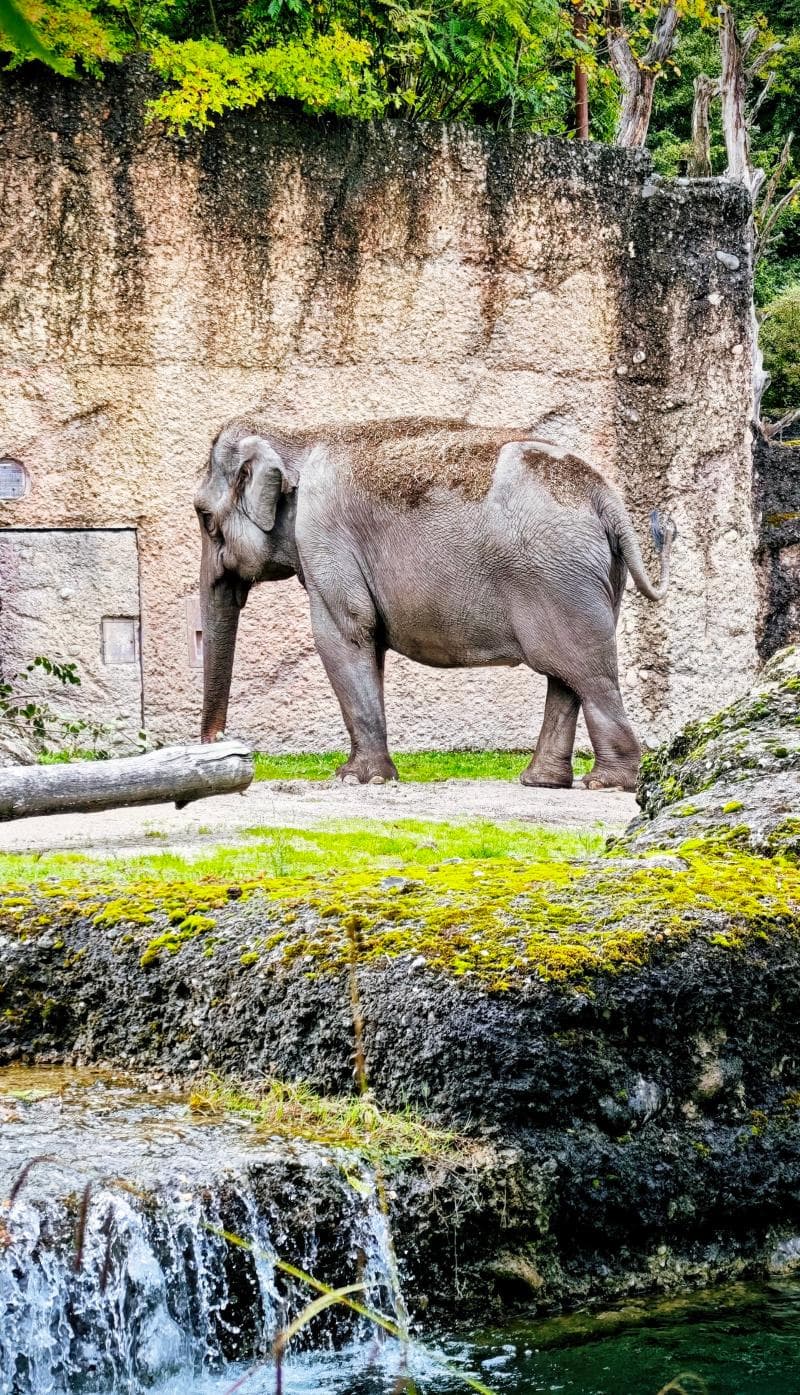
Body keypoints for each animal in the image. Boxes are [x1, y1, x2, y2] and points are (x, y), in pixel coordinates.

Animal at [194, 416, 676, 791]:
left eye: (204, 517)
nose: (219, 741)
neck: (296, 435)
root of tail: (606, 497)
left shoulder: (323, 537)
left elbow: (344, 634)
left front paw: (355, 779)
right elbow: (367, 644)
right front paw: (371, 776)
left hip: (557, 575)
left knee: (584, 672)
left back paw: (607, 783)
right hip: (589, 577)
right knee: (566, 675)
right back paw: (542, 781)